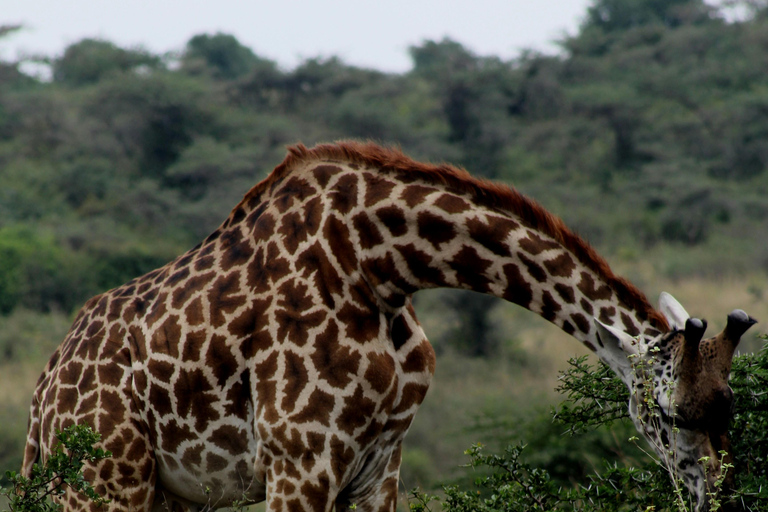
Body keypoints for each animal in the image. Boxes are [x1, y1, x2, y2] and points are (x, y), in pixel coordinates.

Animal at [24, 141, 756, 512]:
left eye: (730, 408)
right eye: (672, 415)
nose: (718, 499)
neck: (378, 266)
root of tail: (41, 401)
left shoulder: (381, 464)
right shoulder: (299, 462)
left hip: (164, 495)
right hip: (103, 483)